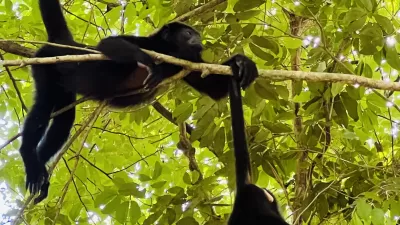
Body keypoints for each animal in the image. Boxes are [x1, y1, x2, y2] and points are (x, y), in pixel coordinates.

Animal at [18, 0, 258, 203]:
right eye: (188, 32)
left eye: (196, 35)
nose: (199, 40)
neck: (169, 50)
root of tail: (63, 43)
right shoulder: (148, 43)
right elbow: (109, 44)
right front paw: (148, 62)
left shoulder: (188, 62)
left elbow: (214, 89)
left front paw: (242, 62)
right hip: (45, 62)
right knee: (43, 107)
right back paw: (28, 157)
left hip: (62, 85)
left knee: (63, 120)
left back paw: (41, 171)